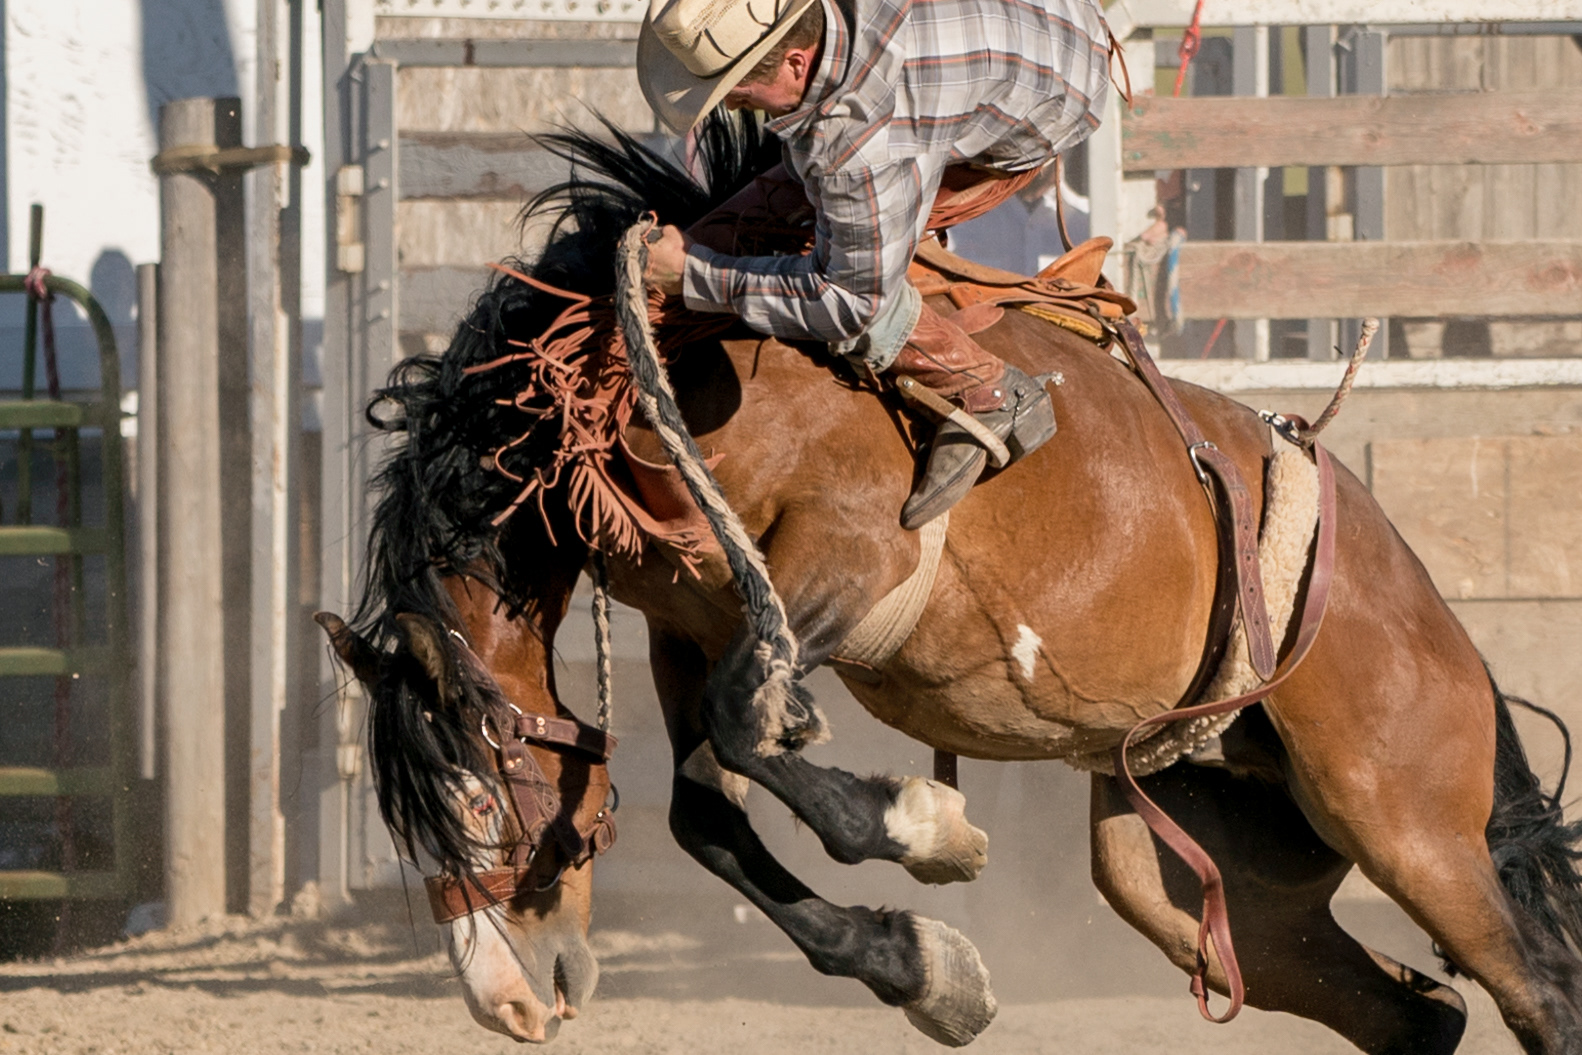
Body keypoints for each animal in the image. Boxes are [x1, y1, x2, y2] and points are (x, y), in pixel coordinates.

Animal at [320, 112, 1582, 1053]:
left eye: (481, 794)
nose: (509, 1000)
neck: (648, 364)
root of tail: (1403, 582)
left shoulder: (849, 561)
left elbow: (745, 735)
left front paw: (926, 827)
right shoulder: (696, 628)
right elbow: (704, 807)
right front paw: (925, 968)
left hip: (1407, 823)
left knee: (1535, 992)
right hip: (1197, 866)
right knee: (1410, 1014)